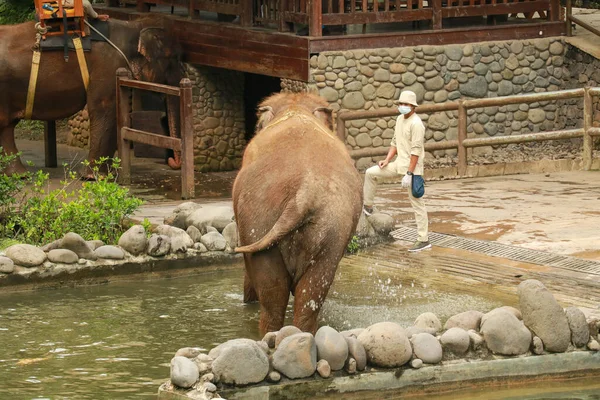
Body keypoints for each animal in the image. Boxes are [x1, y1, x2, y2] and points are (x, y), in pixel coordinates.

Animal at [0, 16, 183, 177]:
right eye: (173, 61)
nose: (172, 162)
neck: (133, 26)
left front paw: (105, 174)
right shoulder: (108, 68)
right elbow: (105, 110)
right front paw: (94, 177)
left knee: (6, 127)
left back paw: (18, 175)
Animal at [231, 93, 360, 334]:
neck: (295, 106)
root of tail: (303, 194)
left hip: (257, 219)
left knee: (272, 301)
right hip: (331, 229)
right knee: (311, 293)